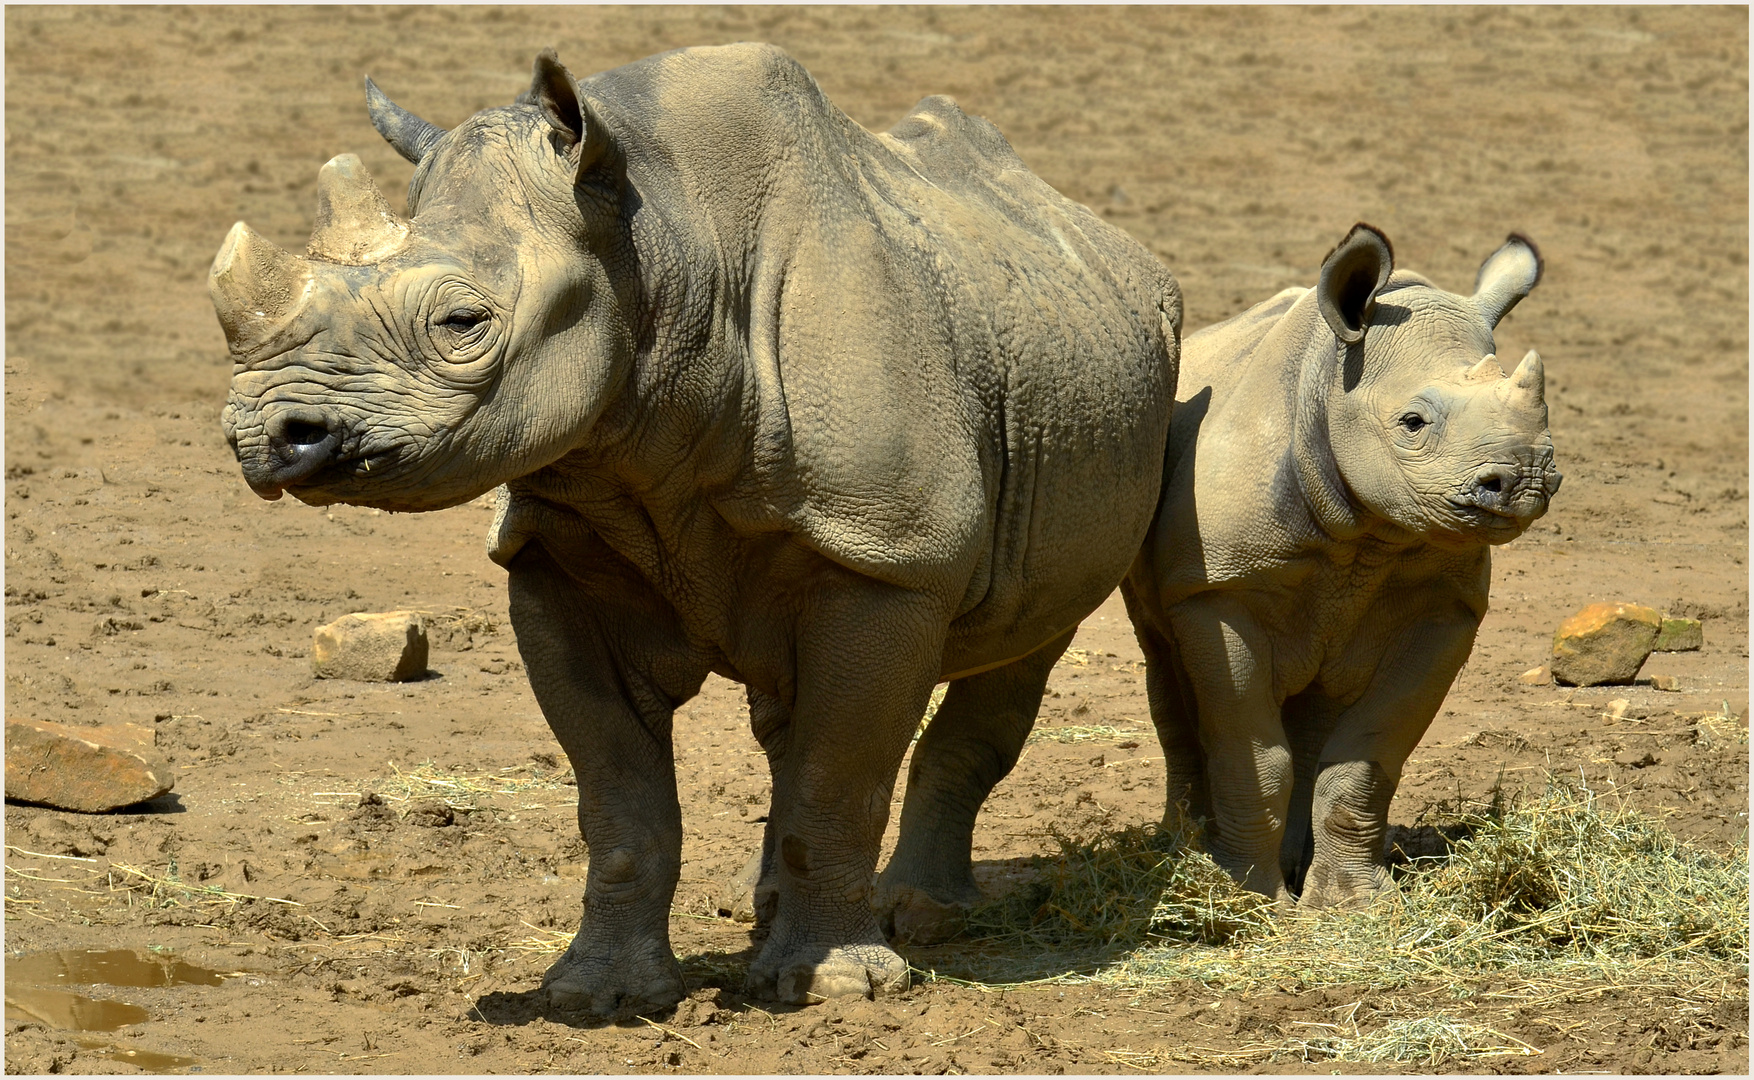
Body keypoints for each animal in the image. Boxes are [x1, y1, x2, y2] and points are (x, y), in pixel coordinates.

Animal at [215, 46, 1178, 1009]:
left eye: (463, 323)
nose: (269, 436)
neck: (666, 252)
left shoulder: (888, 555)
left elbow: (840, 779)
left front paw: (837, 988)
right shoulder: (554, 554)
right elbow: (618, 797)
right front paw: (595, 997)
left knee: (1024, 642)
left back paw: (916, 918)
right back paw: (768, 908)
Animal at [1115, 223, 1557, 904]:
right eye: (1412, 422)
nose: (1526, 479)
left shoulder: (1444, 611)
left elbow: (1366, 758)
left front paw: (1353, 905)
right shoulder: (1218, 592)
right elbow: (1252, 751)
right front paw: (1251, 899)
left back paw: (1294, 869)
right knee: (1166, 663)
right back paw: (1183, 852)